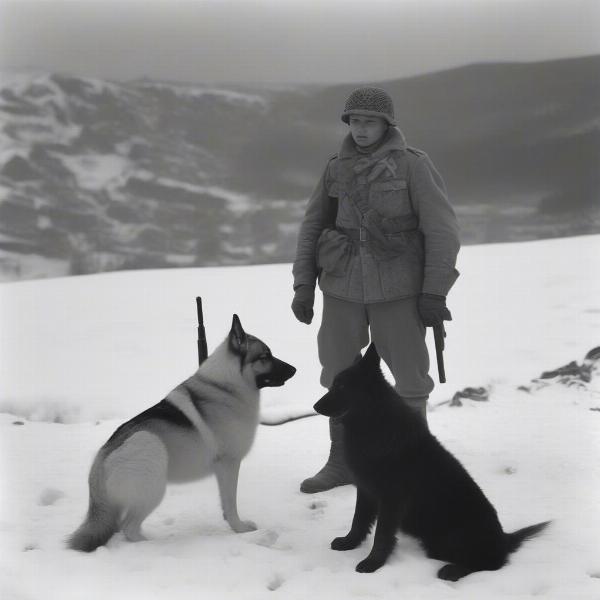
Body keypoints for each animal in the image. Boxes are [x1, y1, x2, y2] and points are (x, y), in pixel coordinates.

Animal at [70, 314, 296, 552]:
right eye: (265, 356)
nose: (295, 369)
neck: (226, 386)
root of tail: (100, 461)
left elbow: (226, 505)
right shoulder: (229, 464)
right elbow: (231, 503)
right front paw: (239, 528)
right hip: (150, 462)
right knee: (128, 528)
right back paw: (152, 545)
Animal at [314, 342, 548, 580]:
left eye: (342, 386)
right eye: (333, 385)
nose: (314, 407)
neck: (376, 424)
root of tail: (503, 538)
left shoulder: (391, 498)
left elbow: (382, 534)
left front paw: (373, 562)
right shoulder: (366, 489)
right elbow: (359, 520)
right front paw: (349, 542)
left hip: (458, 536)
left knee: (491, 563)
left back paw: (452, 570)